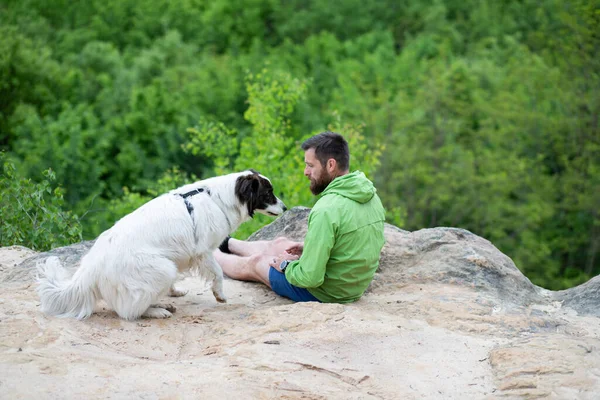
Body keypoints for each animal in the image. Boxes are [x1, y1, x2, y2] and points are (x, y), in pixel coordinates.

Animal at [36, 170, 288, 320]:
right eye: (269, 193)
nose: (285, 208)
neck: (218, 199)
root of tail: (90, 268)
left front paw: (175, 291)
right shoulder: (204, 251)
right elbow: (217, 273)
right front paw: (220, 296)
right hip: (161, 268)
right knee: (128, 312)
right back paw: (157, 311)